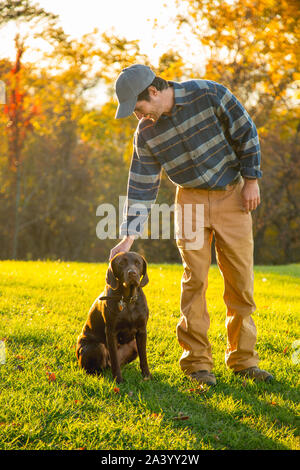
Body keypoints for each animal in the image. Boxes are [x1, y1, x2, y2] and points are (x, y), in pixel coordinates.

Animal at [75, 252, 150, 384]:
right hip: (96, 347)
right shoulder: (111, 332)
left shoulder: (142, 331)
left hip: (133, 346)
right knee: (97, 367)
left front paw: (147, 376)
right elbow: (115, 360)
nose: (132, 273)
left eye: (138, 263)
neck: (127, 300)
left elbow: (144, 357)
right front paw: (118, 380)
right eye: (121, 263)